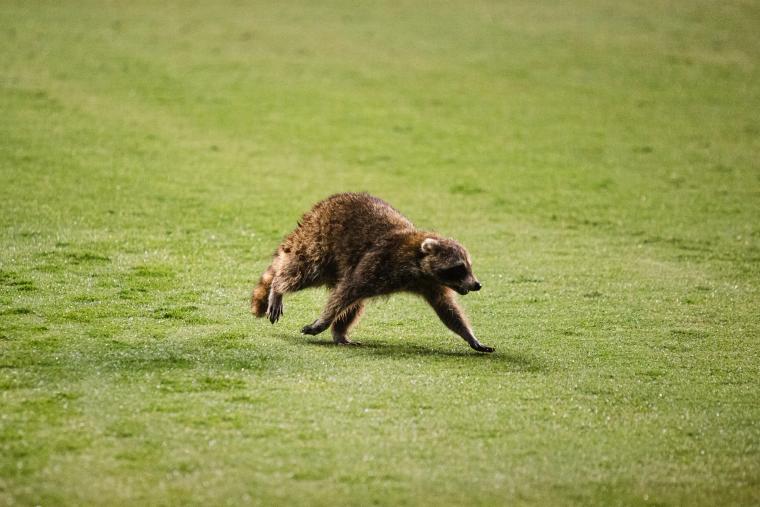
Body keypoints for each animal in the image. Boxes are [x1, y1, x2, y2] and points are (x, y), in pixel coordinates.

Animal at [251, 192, 493, 353]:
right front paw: (323, 321)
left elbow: (447, 309)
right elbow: (348, 290)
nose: (477, 284)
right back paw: (279, 288)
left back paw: (340, 333)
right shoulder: (380, 261)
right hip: (320, 246)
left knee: (354, 304)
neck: (418, 261)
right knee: (305, 272)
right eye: (459, 268)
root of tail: (316, 211)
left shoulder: (431, 284)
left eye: (469, 266)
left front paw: (470, 337)